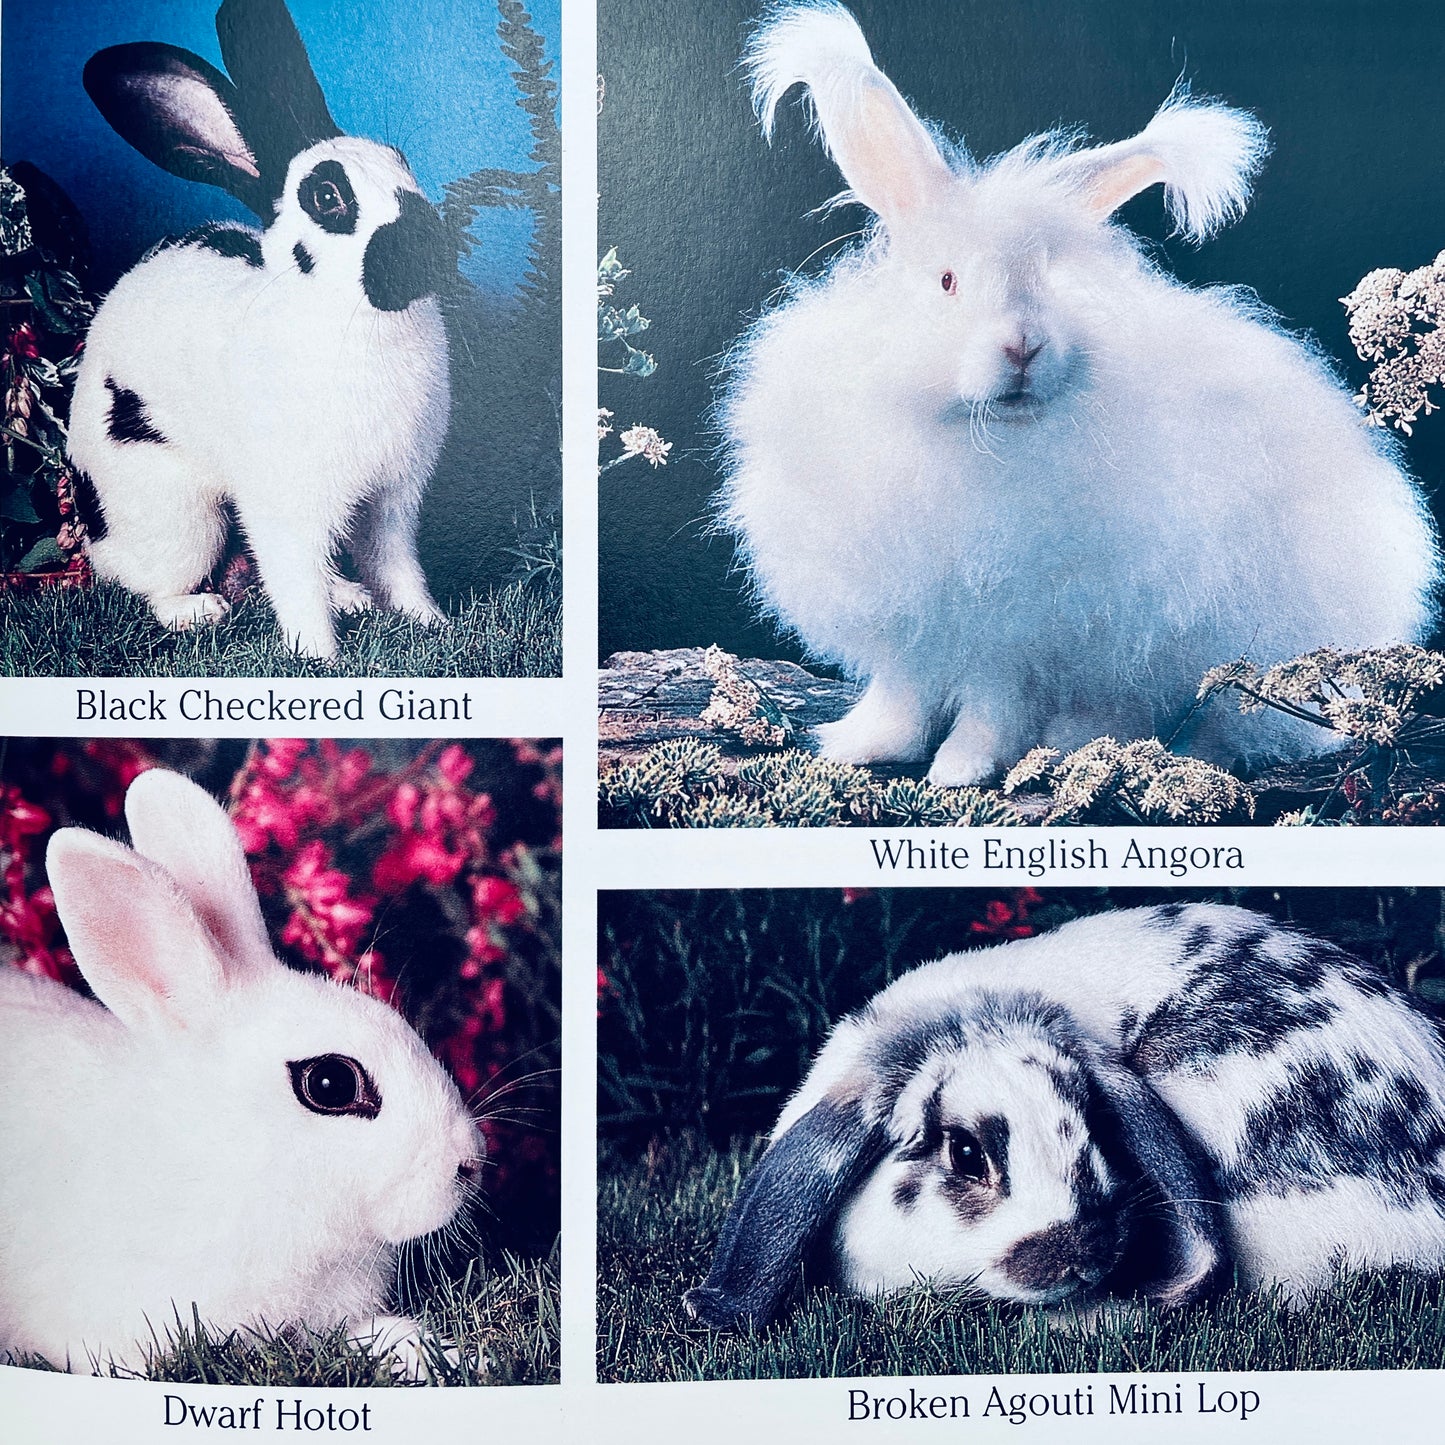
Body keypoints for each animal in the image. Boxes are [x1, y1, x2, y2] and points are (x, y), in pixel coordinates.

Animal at [65, 0, 454, 660]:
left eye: (400, 162)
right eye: (327, 196)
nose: (434, 248)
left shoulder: (392, 501)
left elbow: (397, 566)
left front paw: (430, 623)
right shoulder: (285, 505)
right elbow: (294, 581)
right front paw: (319, 659)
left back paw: (350, 596)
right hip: (179, 516)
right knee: (141, 580)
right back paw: (196, 611)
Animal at [716, 2, 1441, 786]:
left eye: (1047, 276)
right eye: (947, 281)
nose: (1024, 346)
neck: (977, 433)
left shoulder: (1018, 635)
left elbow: (992, 706)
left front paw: (959, 770)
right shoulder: (916, 626)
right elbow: (901, 694)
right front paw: (860, 746)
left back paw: (1086, 744)